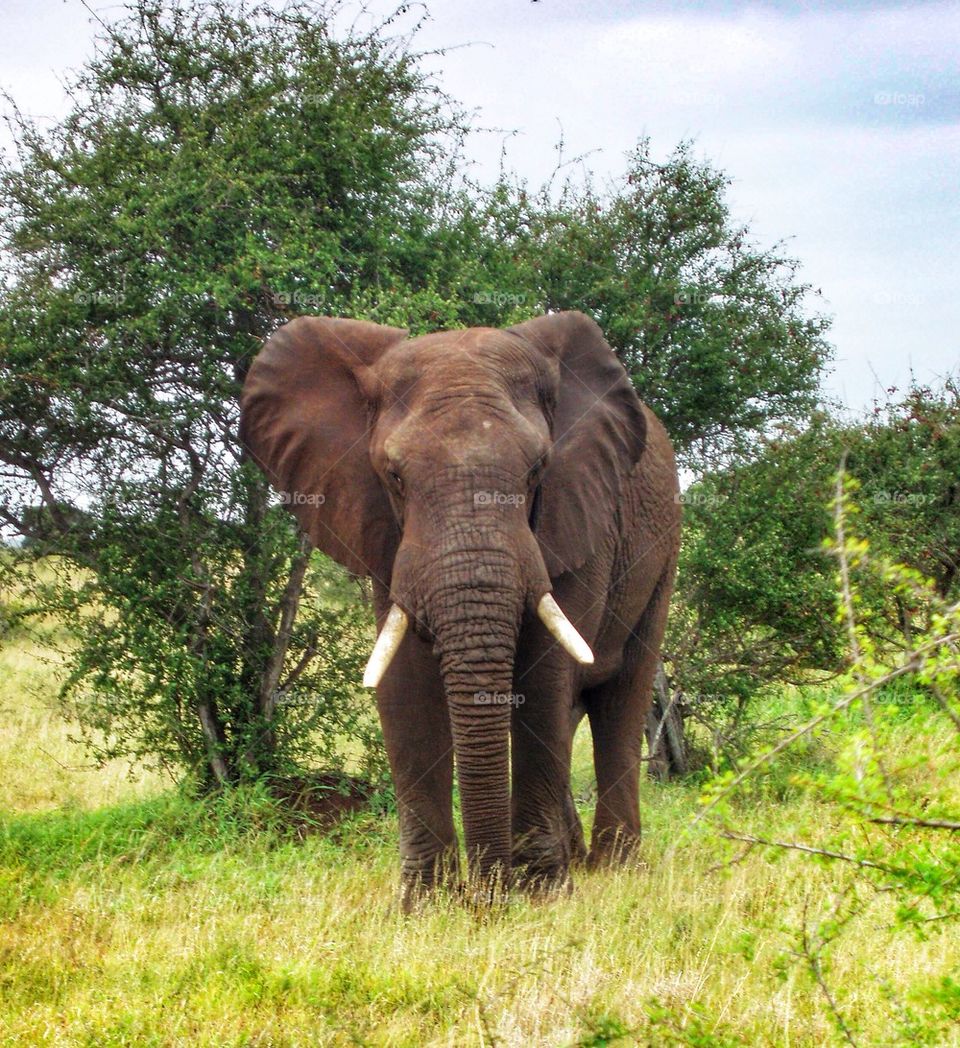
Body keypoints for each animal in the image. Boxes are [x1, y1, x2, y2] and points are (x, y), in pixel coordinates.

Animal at [240, 310, 680, 906]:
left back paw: (616, 866)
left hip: (662, 549)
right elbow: (403, 684)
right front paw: (426, 905)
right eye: (394, 476)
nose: (485, 899)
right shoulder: (384, 530)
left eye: (538, 469)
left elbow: (543, 678)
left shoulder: (577, 516)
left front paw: (541, 895)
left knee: (621, 695)